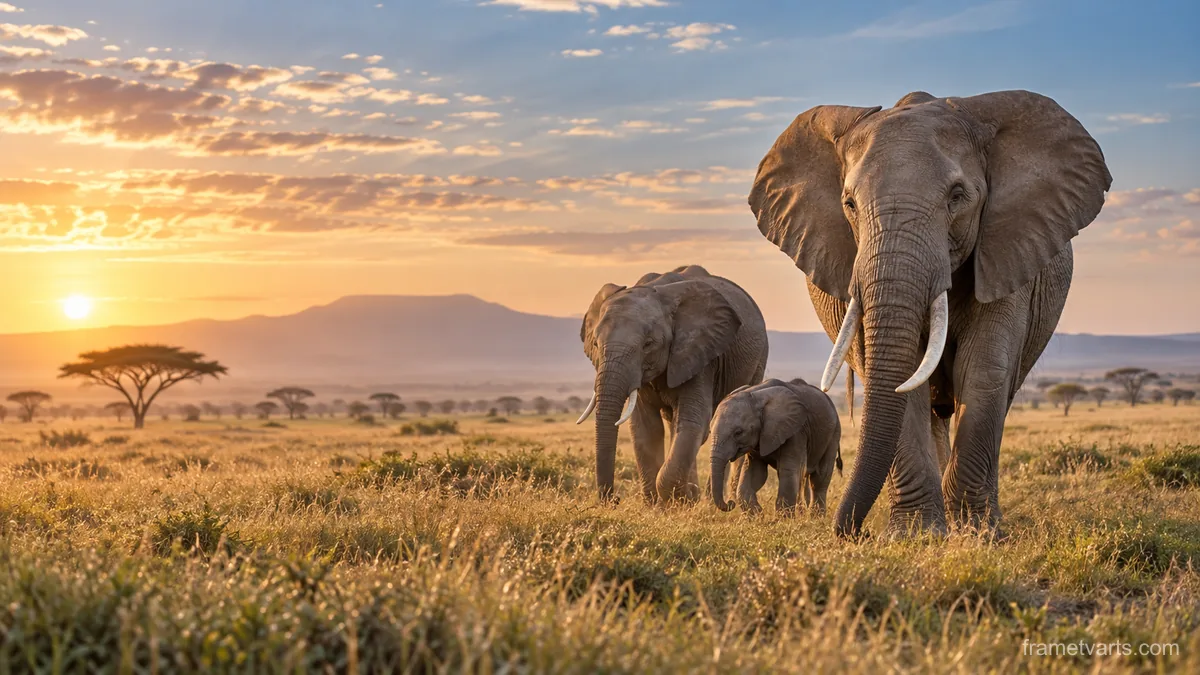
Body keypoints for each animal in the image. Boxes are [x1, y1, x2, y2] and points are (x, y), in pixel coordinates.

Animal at [577, 265, 769, 504]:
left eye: (648, 344)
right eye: (595, 343)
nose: (615, 499)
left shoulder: (701, 355)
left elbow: (693, 422)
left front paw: (674, 503)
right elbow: (645, 428)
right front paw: (657, 505)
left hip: (758, 360)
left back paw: (716, 500)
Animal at [709, 378, 842, 515]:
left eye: (738, 432)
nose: (730, 503)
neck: (756, 395)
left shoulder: (796, 431)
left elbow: (788, 472)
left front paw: (782, 519)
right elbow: (755, 474)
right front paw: (758, 515)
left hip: (834, 433)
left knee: (819, 479)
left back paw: (816, 517)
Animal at [749, 90, 1111, 538]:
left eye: (957, 196)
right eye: (849, 204)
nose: (853, 531)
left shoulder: (1007, 247)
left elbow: (984, 367)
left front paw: (979, 534)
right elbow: (902, 380)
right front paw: (917, 535)